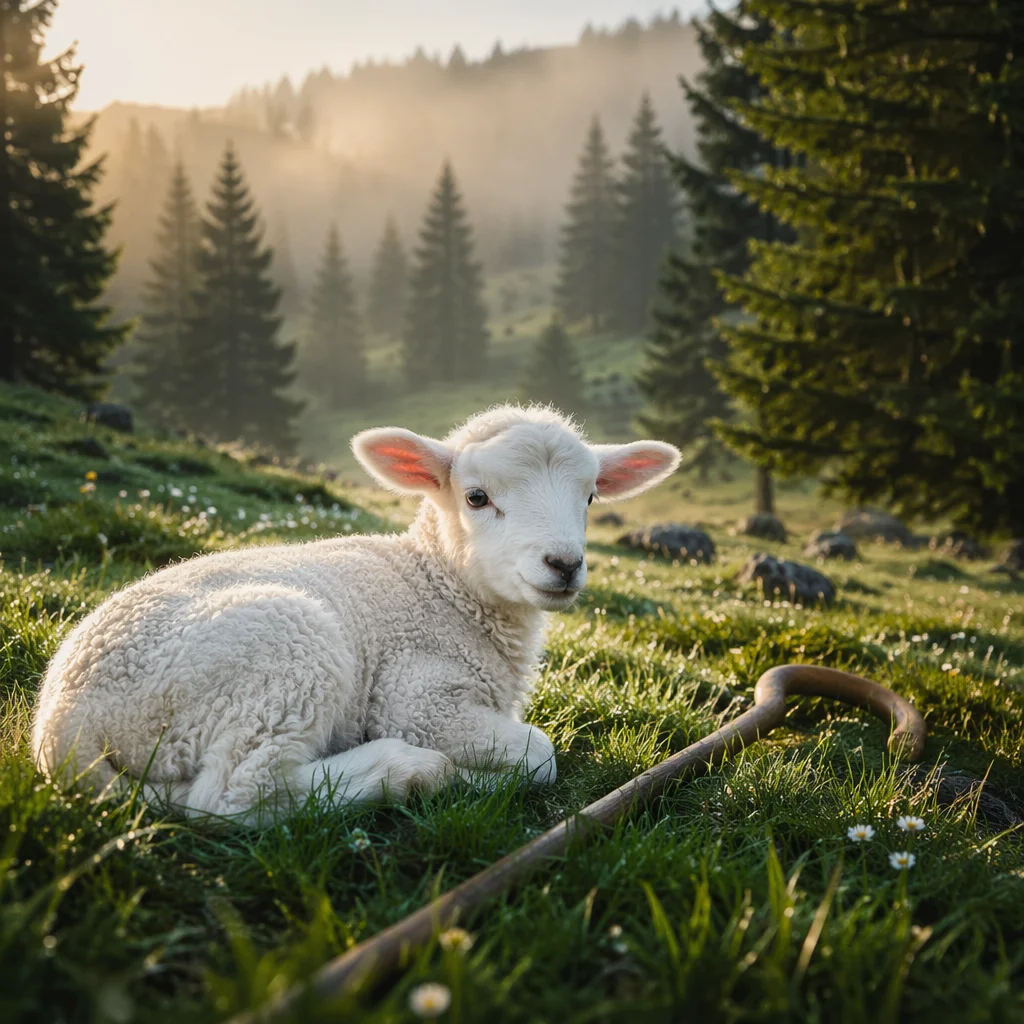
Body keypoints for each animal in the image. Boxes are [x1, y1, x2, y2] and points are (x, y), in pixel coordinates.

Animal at [31, 405, 680, 824]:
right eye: (476, 497)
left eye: (591, 497)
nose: (564, 564)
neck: (440, 585)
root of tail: (62, 727)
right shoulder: (417, 697)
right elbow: (539, 755)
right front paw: (473, 775)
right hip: (284, 657)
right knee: (232, 795)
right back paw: (410, 772)